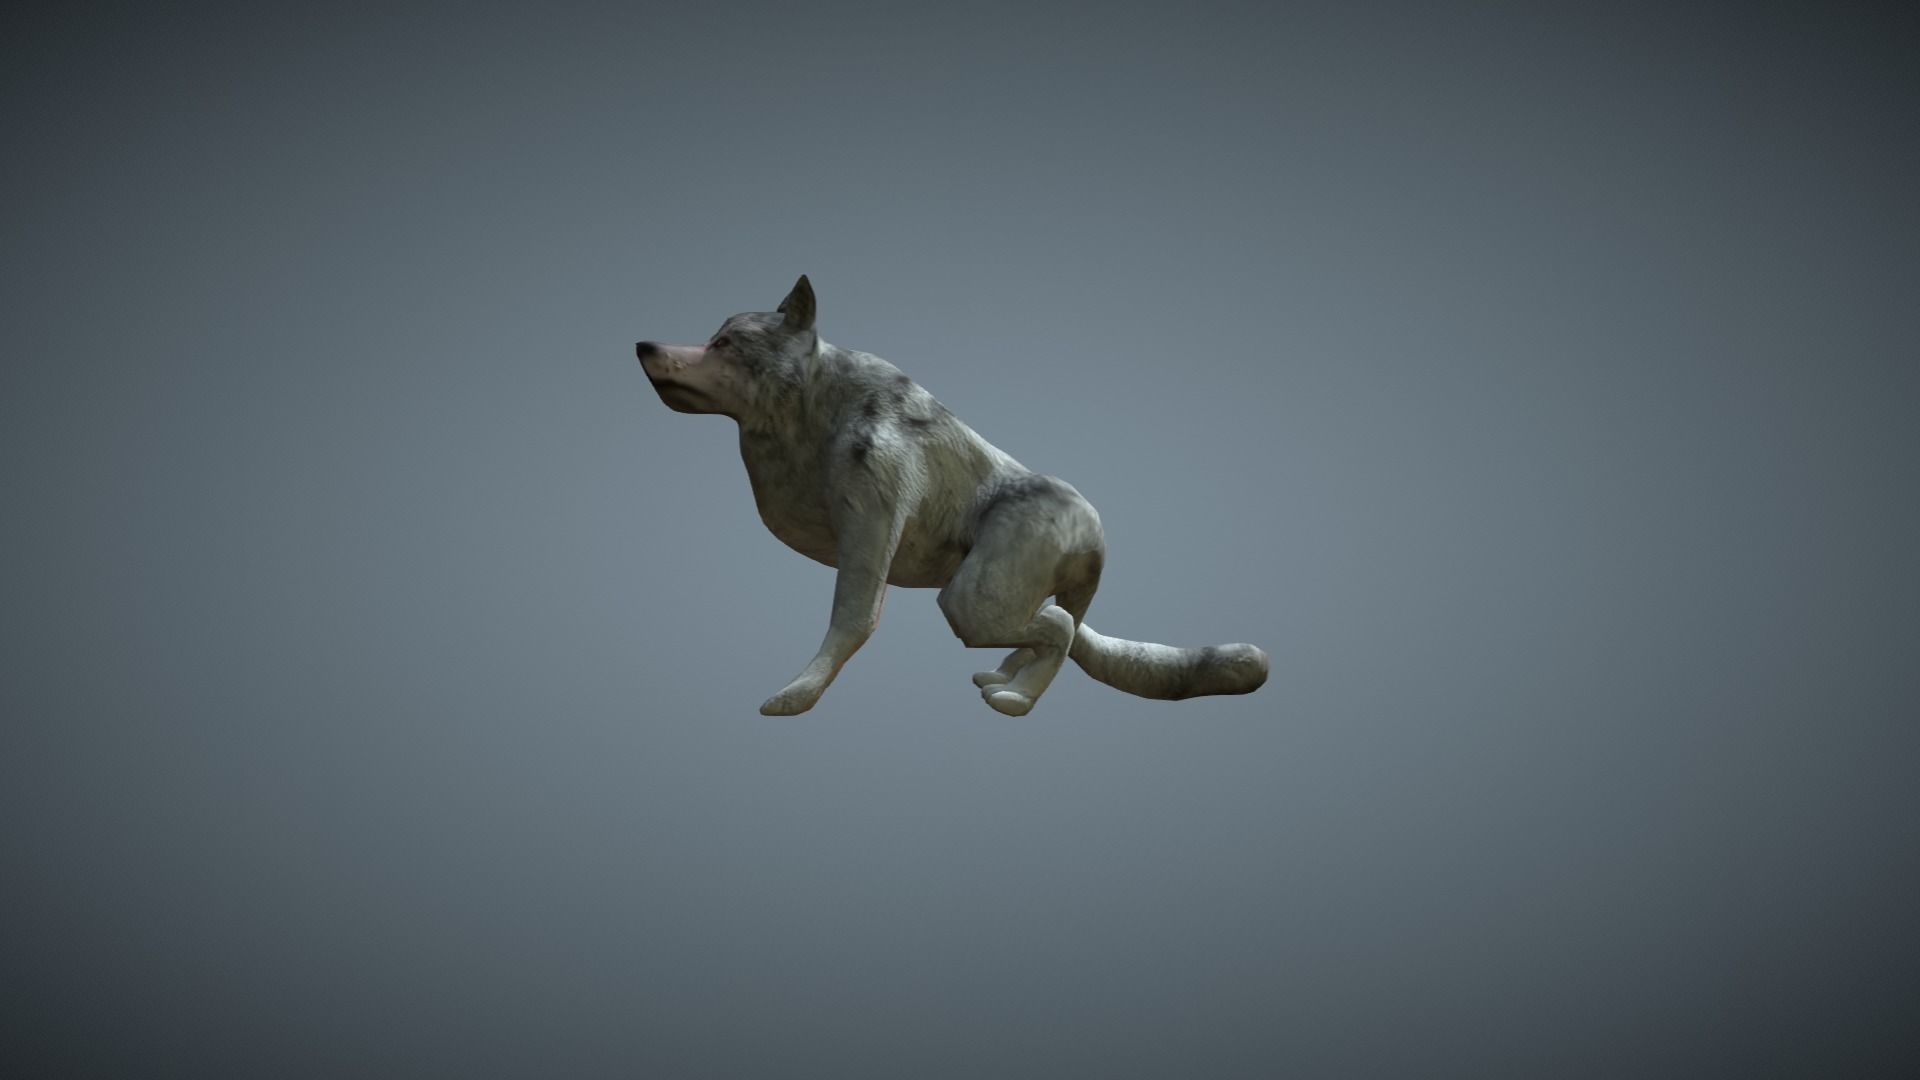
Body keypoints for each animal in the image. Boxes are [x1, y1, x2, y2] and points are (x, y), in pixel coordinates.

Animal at [636, 275, 1269, 716]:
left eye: (725, 343)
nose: (643, 345)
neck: (812, 408)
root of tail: (1097, 529)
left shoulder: (871, 523)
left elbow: (851, 619)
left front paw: (799, 694)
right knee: (1057, 623)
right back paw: (1004, 679)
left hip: (970, 599)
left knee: (1059, 625)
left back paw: (1017, 701)